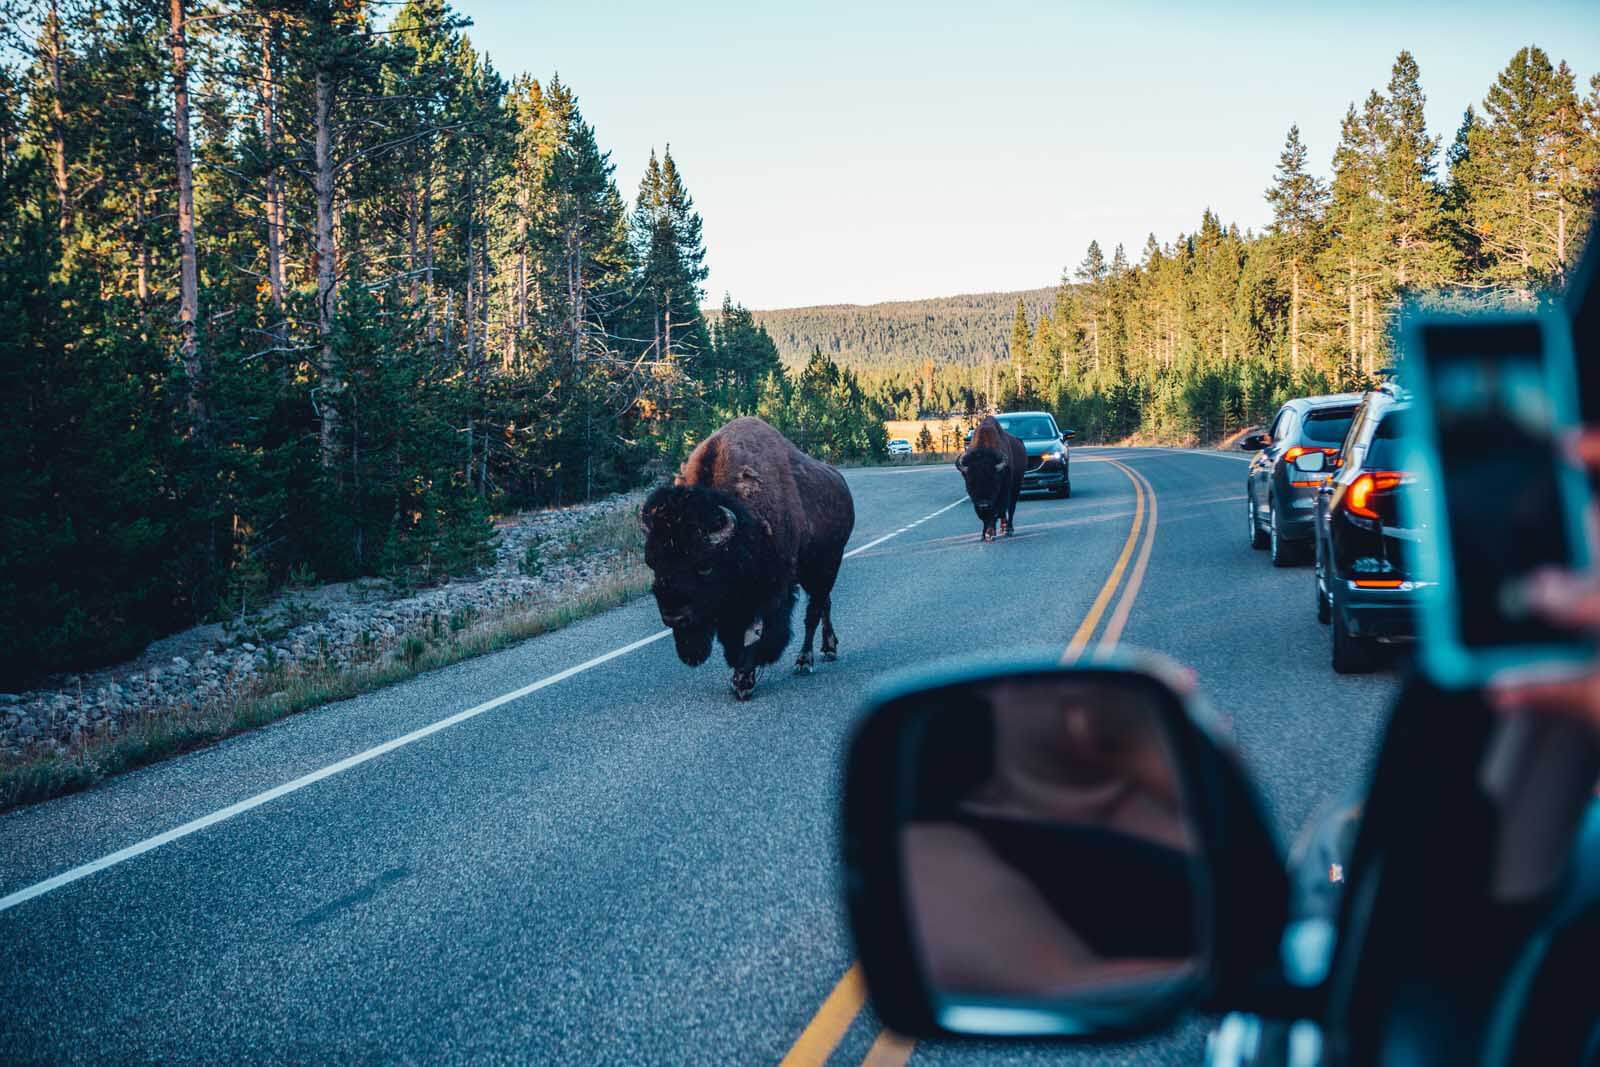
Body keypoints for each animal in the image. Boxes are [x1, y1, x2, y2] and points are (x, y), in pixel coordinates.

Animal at [640, 415, 857, 700]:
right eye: (652, 563)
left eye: (704, 566)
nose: (673, 617)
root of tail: (840, 483)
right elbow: (733, 635)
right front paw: (739, 678)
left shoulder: (769, 592)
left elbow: (754, 634)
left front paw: (744, 680)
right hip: (813, 573)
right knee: (824, 605)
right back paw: (828, 648)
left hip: (827, 564)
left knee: (813, 611)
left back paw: (805, 660)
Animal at [953, 415, 1030, 543]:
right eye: (970, 483)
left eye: (994, 482)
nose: (984, 505)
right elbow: (987, 517)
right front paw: (984, 534)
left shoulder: (1001, 493)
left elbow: (996, 512)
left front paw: (989, 533)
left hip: (1016, 487)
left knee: (1011, 507)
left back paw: (1009, 530)